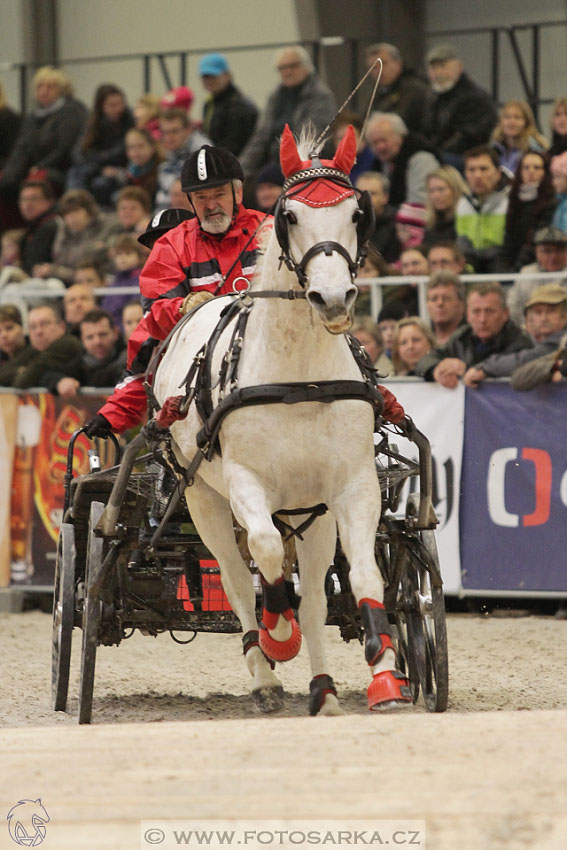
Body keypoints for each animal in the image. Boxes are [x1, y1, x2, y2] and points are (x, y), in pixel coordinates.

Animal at [153, 122, 410, 712]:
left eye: (357, 213)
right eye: (289, 215)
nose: (333, 297)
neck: (298, 379)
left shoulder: (351, 486)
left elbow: (365, 577)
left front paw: (384, 670)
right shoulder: (245, 483)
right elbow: (265, 556)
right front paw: (277, 635)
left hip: (308, 511)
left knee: (313, 596)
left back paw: (324, 689)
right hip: (203, 499)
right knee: (235, 577)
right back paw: (265, 670)